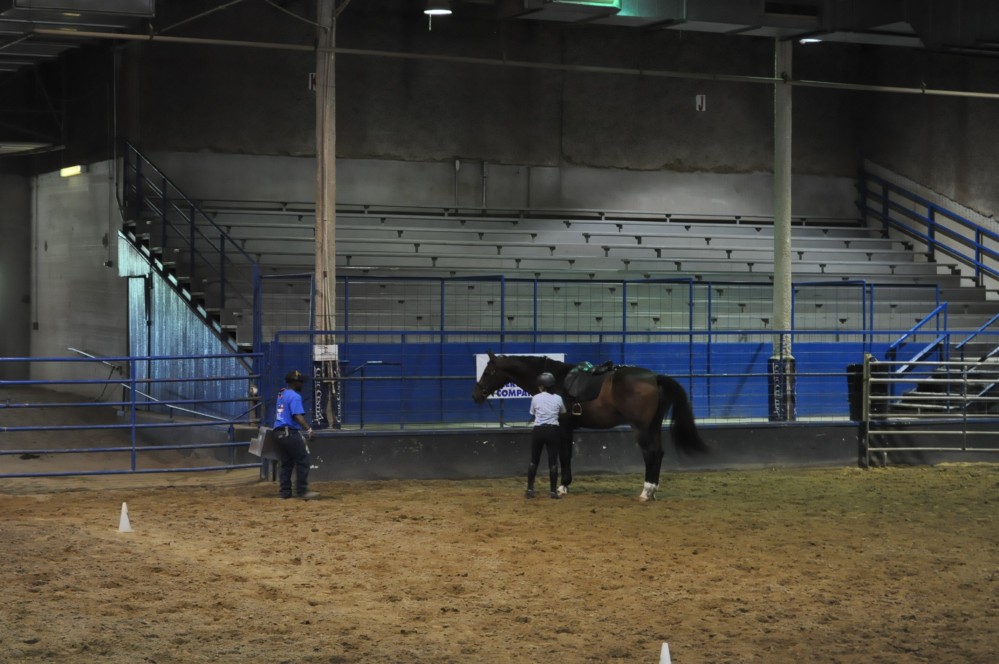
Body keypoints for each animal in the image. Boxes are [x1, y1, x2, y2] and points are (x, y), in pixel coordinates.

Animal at [472, 352, 708, 498]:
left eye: (489, 372)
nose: (476, 395)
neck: (556, 382)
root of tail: (654, 377)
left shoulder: (563, 427)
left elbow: (564, 456)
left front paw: (562, 487)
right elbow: (567, 455)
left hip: (640, 427)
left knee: (650, 453)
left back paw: (646, 491)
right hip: (654, 425)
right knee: (658, 452)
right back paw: (654, 489)